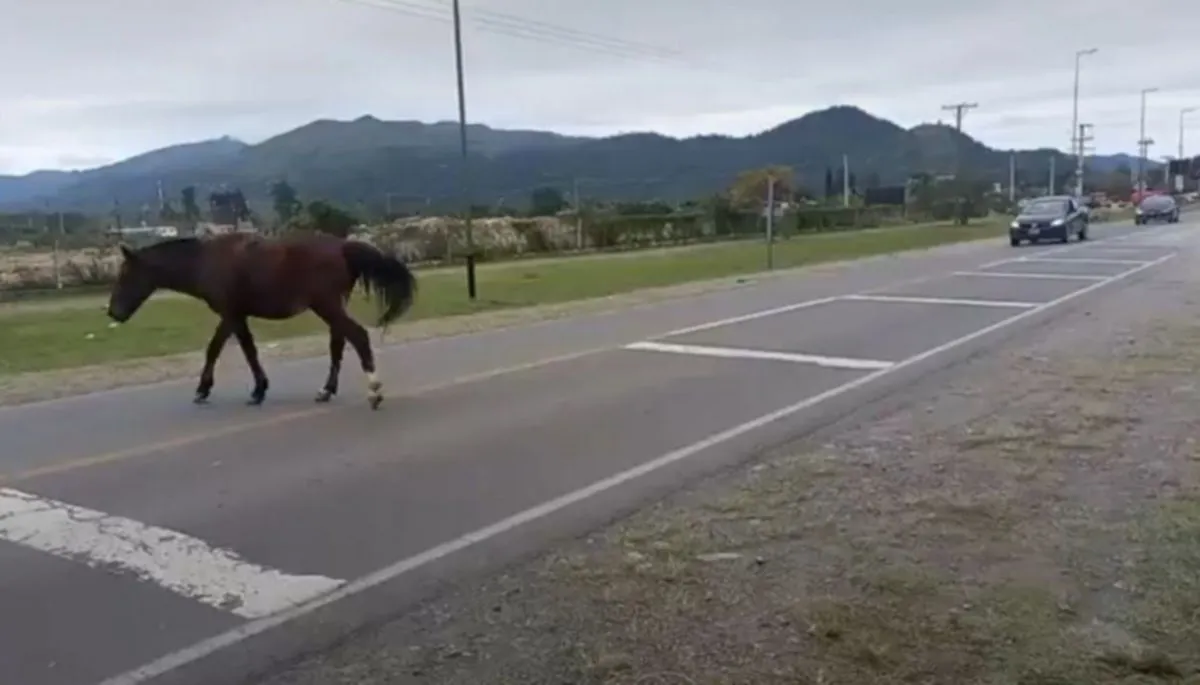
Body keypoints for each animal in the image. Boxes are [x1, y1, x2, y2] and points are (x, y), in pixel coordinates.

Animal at [105, 232, 417, 410]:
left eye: (125, 274)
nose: (113, 312)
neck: (206, 261)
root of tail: (344, 247)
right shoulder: (238, 315)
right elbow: (246, 350)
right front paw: (258, 389)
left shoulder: (230, 314)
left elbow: (219, 349)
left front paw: (206, 389)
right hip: (333, 307)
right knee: (338, 344)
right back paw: (326, 390)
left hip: (327, 306)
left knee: (358, 337)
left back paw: (374, 391)